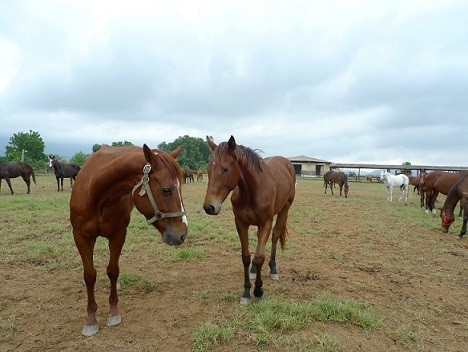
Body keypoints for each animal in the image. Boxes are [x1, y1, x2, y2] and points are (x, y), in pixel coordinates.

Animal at [69, 144, 186, 336]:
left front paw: (113, 312)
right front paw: (91, 320)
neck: (98, 194)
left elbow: (113, 271)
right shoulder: (81, 236)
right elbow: (90, 275)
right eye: (166, 190)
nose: (182, 234)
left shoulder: (118, 234)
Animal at [202, 136, 296, 304]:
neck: (253, 191)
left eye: (226, 169)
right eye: (208, 169)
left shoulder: (266, 223)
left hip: (285, 209)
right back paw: (253, 271)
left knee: (275, 236)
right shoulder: (240, 223)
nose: (209, 207)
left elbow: (259, 257)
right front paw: (246, 291)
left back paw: (273, 269)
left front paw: (258, 290)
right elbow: (246, 257)